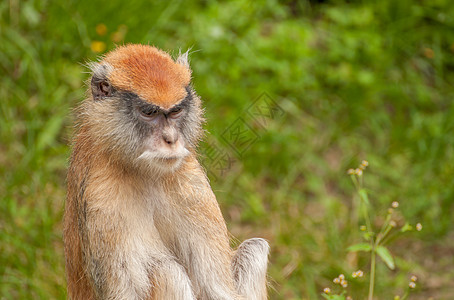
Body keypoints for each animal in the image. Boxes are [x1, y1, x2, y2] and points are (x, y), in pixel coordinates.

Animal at [63, 44, 270, 300]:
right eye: (149, 112)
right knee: (166, 270)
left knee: (255, 249)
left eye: (176, 111)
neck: (142, 172)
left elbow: (217, 290)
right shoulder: (101, 197)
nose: (171, 139)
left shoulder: (190, 182)